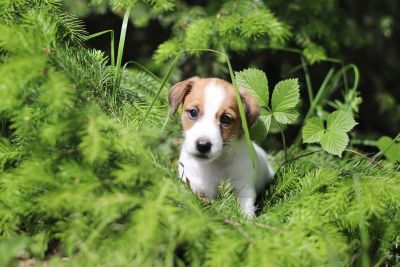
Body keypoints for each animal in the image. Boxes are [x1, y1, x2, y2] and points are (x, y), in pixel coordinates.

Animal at [167, 76, 274, 217]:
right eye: (193, 112)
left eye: (226, 119)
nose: (203, 145)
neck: (213, 165)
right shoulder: (192, 183)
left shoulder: (243, 188)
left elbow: (246, 211)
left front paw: (246, 221)